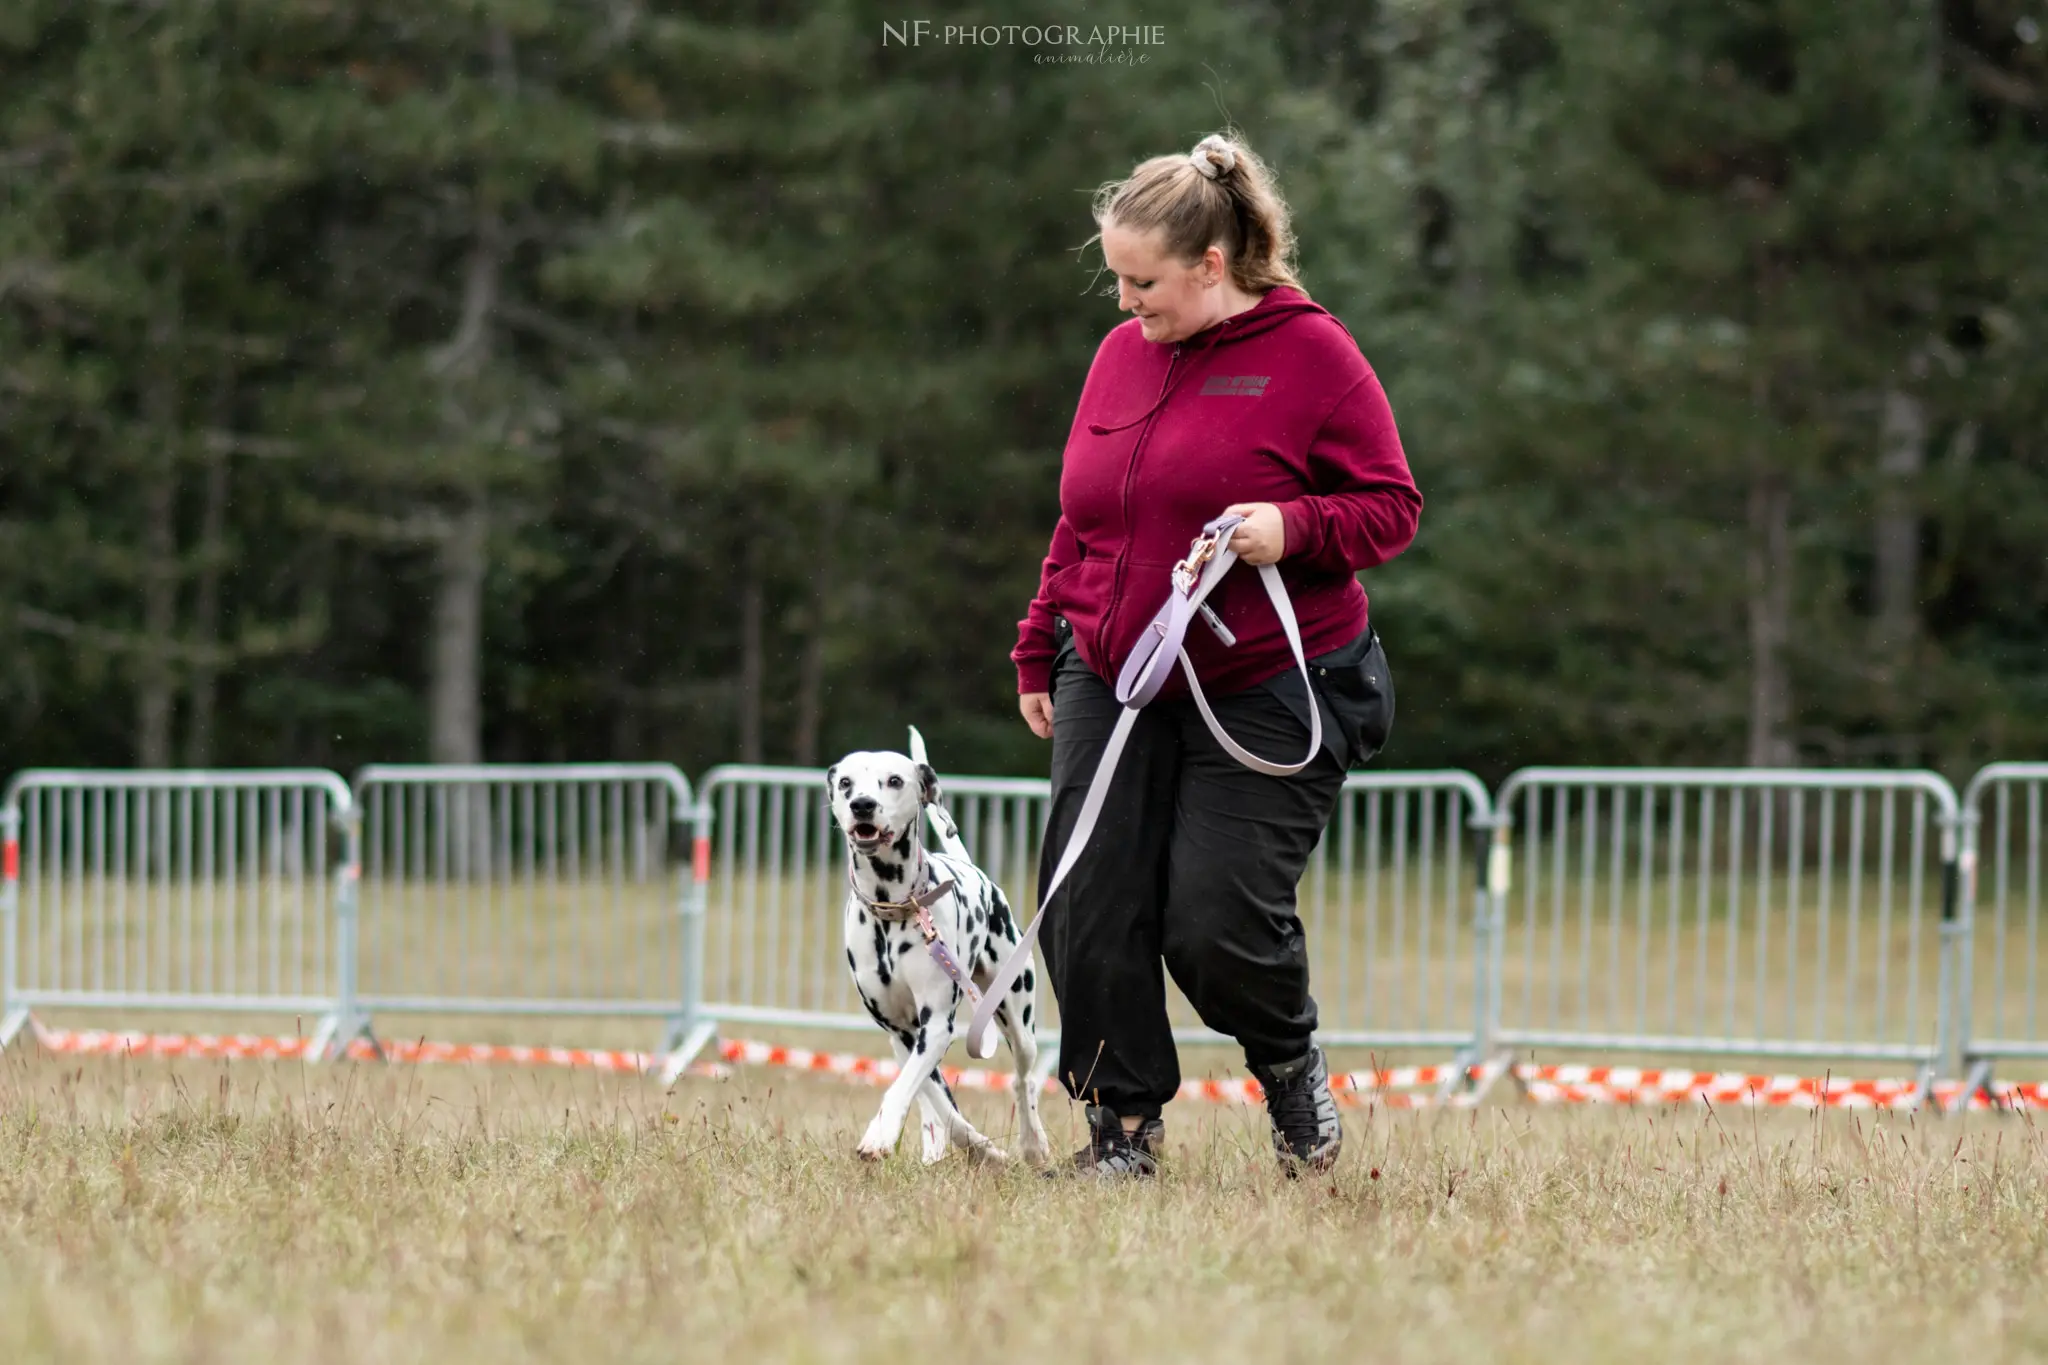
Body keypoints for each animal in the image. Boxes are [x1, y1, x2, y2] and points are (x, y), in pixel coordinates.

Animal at [831, 740, 1056, 1170]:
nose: (862, 805)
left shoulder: (935, 1024)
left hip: (1017, 1018)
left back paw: (1034, 1145)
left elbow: (907, 1089)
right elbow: (935, 1100)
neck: (893, 908)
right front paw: (978, 1148)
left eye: (895, 780)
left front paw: (879, 1135)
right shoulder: (903, 1033)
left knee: (1024, 1080)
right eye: (846, 782)